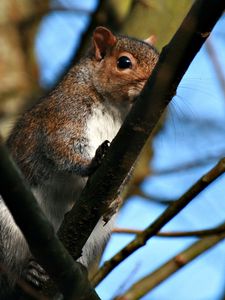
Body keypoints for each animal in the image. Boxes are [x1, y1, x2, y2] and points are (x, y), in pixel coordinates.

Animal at [0, 26, 158, 298]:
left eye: (158, 59)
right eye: (124, 62)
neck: (115, 108)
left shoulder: (136, 144)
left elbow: (125, 173)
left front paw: (115, 199)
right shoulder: (64, 114)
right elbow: (61, 146)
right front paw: (92, 163)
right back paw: (28, 272)